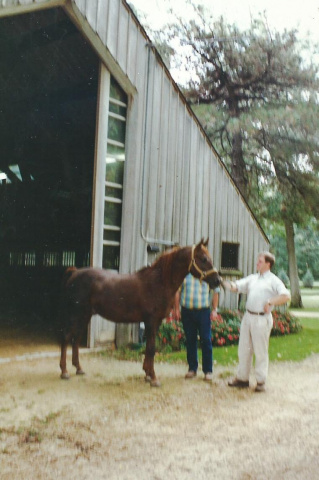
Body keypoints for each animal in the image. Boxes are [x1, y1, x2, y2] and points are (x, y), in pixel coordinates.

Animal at [58, 239, 221, 386]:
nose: (217, 281)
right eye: (204, 259)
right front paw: (154, 378)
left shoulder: (155, 322)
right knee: (66, 337)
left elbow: (149, 348)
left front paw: (147, 374)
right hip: (76, 314)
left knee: (76, 339)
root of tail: (75, 272)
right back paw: (64, 372)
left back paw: (78, 369)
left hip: (85, 315)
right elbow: (151, 348)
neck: (159, 282)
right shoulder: (151, 321)